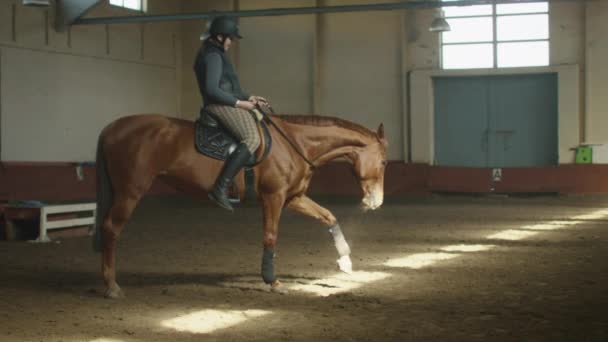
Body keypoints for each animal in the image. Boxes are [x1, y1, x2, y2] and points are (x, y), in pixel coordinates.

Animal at [95, 111, 390, 296]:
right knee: (111, 229)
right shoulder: (273, 197)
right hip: (130, 192)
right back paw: (111, 286)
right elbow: (270, 236)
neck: (295, 144)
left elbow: (329, 217)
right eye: (385, 162)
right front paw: (272, 281)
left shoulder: (293, 198)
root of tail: (111, 128)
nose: (377, 202)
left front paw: (345, 261)